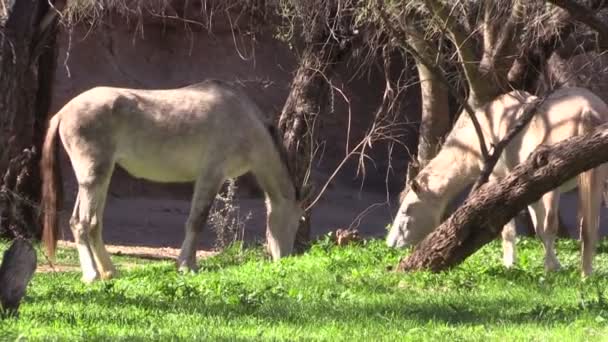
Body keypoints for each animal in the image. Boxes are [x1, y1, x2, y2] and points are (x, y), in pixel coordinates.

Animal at [388, 87, 608, 276]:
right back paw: (587, 273)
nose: (390, 243)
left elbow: (520, 230)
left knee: (554, 226)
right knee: (588, 227)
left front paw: (518, 264)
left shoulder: (509, 183)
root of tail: (588, 110)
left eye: (407, 210)